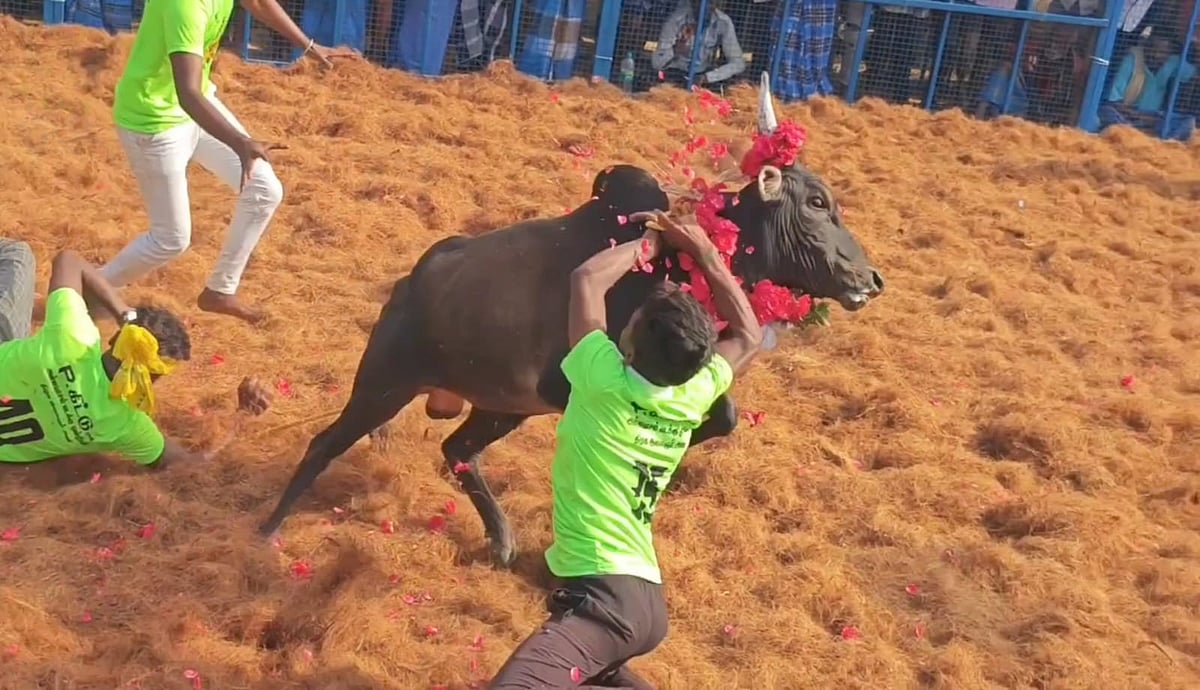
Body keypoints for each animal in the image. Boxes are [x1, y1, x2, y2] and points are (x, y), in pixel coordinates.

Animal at [257, 74, 885, 566]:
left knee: (457, 450)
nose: (871, 278)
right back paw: (265, 532)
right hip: (385, 384)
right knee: (324, 443)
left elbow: (723, 417)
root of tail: (414, 280)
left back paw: (502, 543)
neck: (678, 263)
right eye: (817, 203)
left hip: (498, 405)